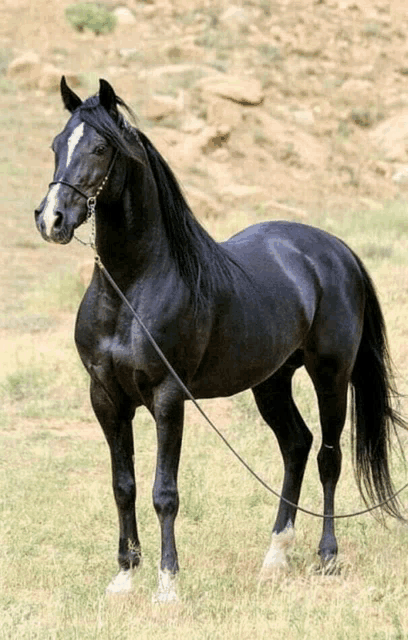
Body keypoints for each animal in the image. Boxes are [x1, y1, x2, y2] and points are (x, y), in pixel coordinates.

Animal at [35, 77, 404, 604]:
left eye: (101, 148)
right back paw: (275, 558)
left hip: (330, 375)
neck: (133, 288)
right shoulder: (105, 397)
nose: (52, 220)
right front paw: (124, 577)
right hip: (271, 381)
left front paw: (168, 584)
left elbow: (164, 493)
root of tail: (335, 250)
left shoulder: (168, 397)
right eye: (56, 145)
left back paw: (327, 557)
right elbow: (123, 486)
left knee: (328, 457)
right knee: (296, 445)